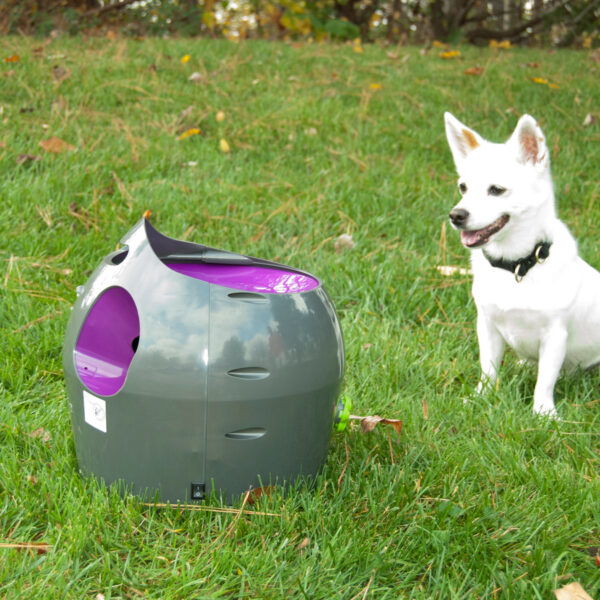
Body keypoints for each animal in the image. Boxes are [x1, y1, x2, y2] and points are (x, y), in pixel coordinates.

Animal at [442, 112, 600, 418]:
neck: (516, 265)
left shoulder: (555, 337)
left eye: (497, 190)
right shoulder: (487, 327)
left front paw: (543, 414)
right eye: (463, 188)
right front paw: (482, 398)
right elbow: (489, 368)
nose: (456, 215)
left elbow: (545, 380)